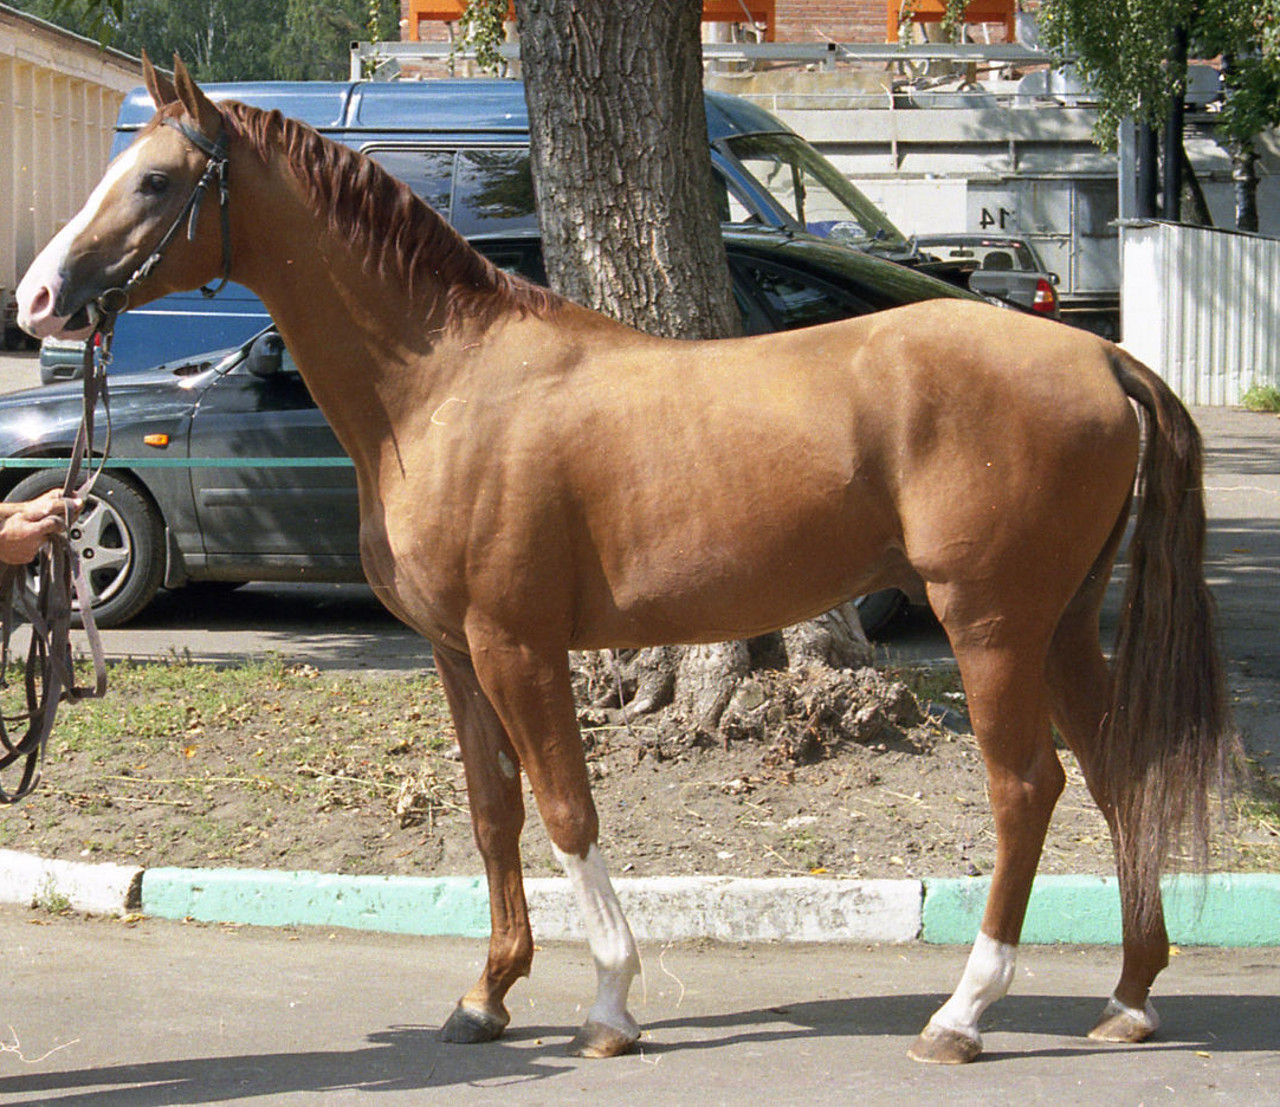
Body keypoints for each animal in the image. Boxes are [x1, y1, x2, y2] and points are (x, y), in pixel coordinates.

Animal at [17, 57, 1233, 1065]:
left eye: (156, 180)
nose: (36, 300)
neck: (443, 385)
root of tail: (1100, 357)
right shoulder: (456, 656)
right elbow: (494, 812)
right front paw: (487, 995)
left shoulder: (518, 647)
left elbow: (567, 812)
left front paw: (608, 1003)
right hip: (1059, 625)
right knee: (1117, 776)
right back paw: (1128, 996)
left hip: (990, 627)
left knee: (1026, 790)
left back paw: (963, 1014)